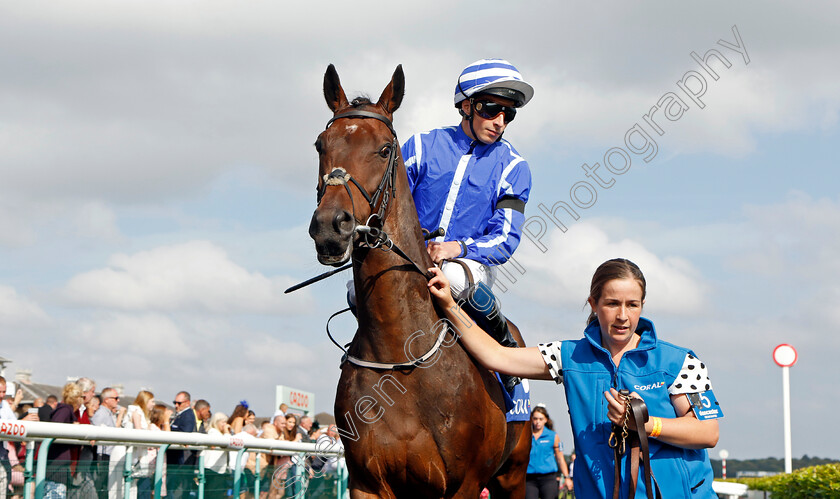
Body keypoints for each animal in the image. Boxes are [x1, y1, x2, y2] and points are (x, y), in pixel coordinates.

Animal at [308, 64, 532, 498]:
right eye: (320, 145)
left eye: (383, 149)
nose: (330, 226)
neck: (401, 356)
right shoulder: (368, 482)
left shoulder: (463, 485)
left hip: (512, 474)